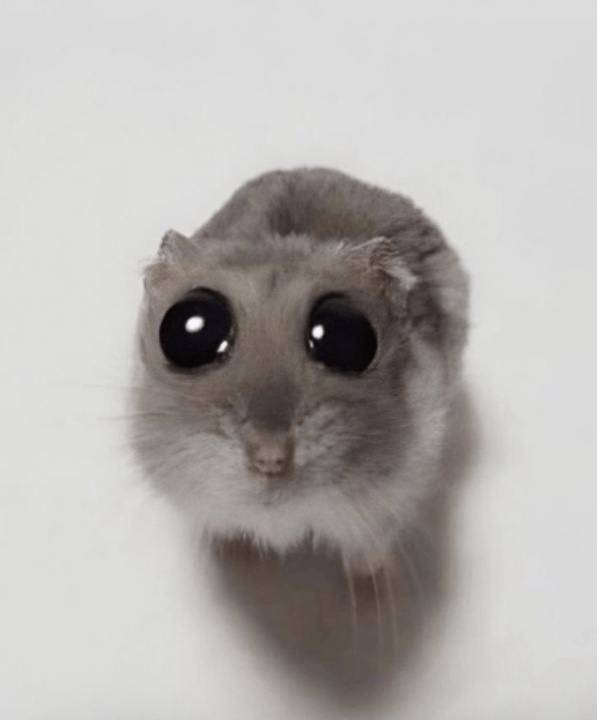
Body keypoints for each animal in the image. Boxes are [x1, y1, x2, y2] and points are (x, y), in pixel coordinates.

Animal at [130, 168, 469, 574]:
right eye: (188, 331)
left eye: (345, 336)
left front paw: (375, 577)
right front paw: (238, 559)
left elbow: (369, 549)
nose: (270, 459)